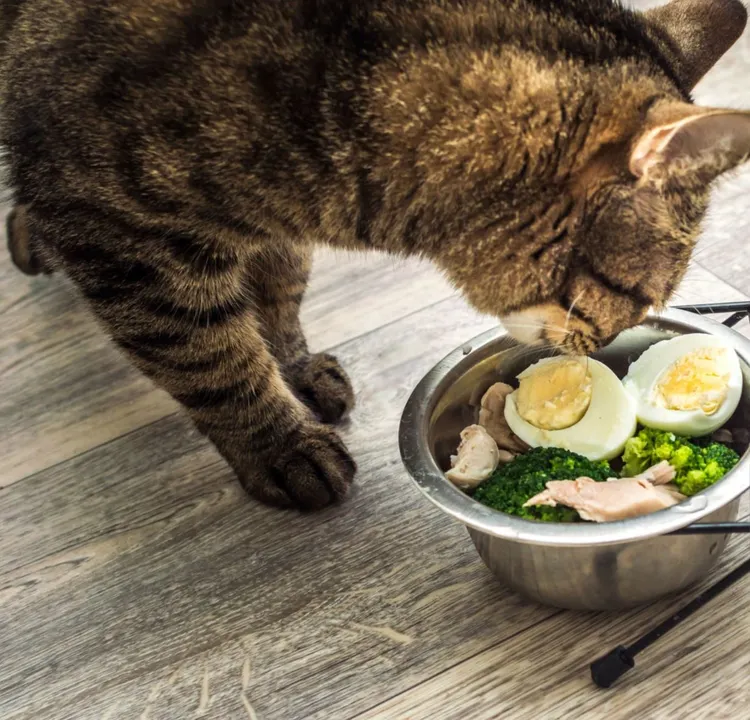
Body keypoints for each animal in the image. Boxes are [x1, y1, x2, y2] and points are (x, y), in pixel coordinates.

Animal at [1, 0, 750, 510]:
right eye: (640, 300)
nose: (605, 351)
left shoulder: (274, 219)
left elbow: (277, 290)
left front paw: (294, 367)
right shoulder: (122, 239)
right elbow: (211, 359)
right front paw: (281, 444)